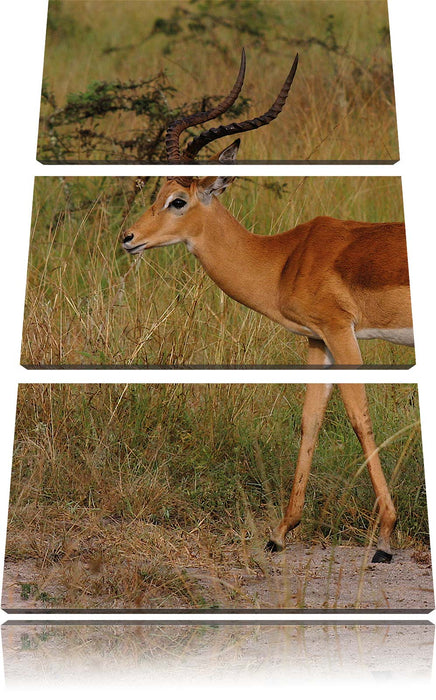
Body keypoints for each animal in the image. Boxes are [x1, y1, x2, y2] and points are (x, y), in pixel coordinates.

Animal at [122, 49, 412, 564]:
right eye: (157, 193)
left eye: (178, 200)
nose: (128, 238)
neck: (284, 259)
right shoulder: (318, 340)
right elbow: (310, 420)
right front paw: (280, 532)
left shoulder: (341, 330)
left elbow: (359, 417)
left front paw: (384, 538)